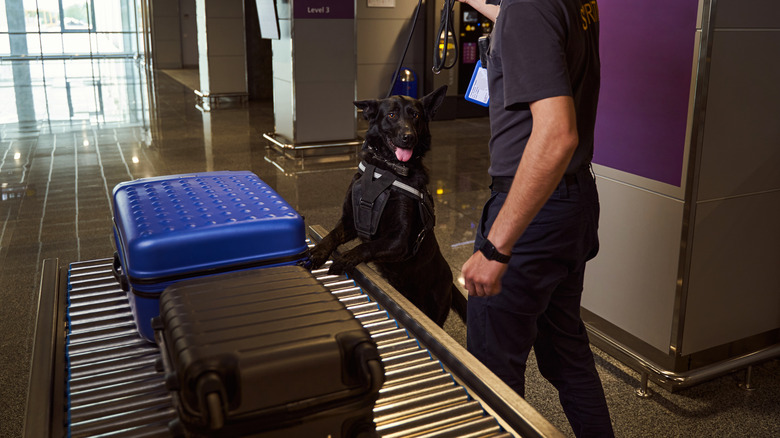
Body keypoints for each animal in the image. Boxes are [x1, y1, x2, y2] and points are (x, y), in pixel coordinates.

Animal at [310, 85, 466, 326]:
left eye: (415, 116)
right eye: (391, 115)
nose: (408, 137)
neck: (386, 169)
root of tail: (450, 282)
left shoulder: (399, 242)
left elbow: (366, 247)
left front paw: (345, 258)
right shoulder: (350, 221)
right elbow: (332, 235)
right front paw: (318, 251)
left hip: (435, 311)